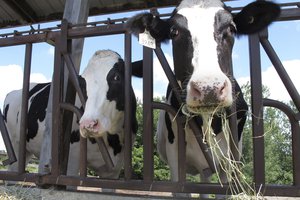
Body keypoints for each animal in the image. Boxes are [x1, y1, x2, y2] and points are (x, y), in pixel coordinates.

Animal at [2, 49, 142, 180]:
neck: (113, 140)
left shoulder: (113, 171)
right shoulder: (70, 162)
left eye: (117, 77)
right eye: (82, 84)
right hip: (15, 145)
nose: (88, 124)